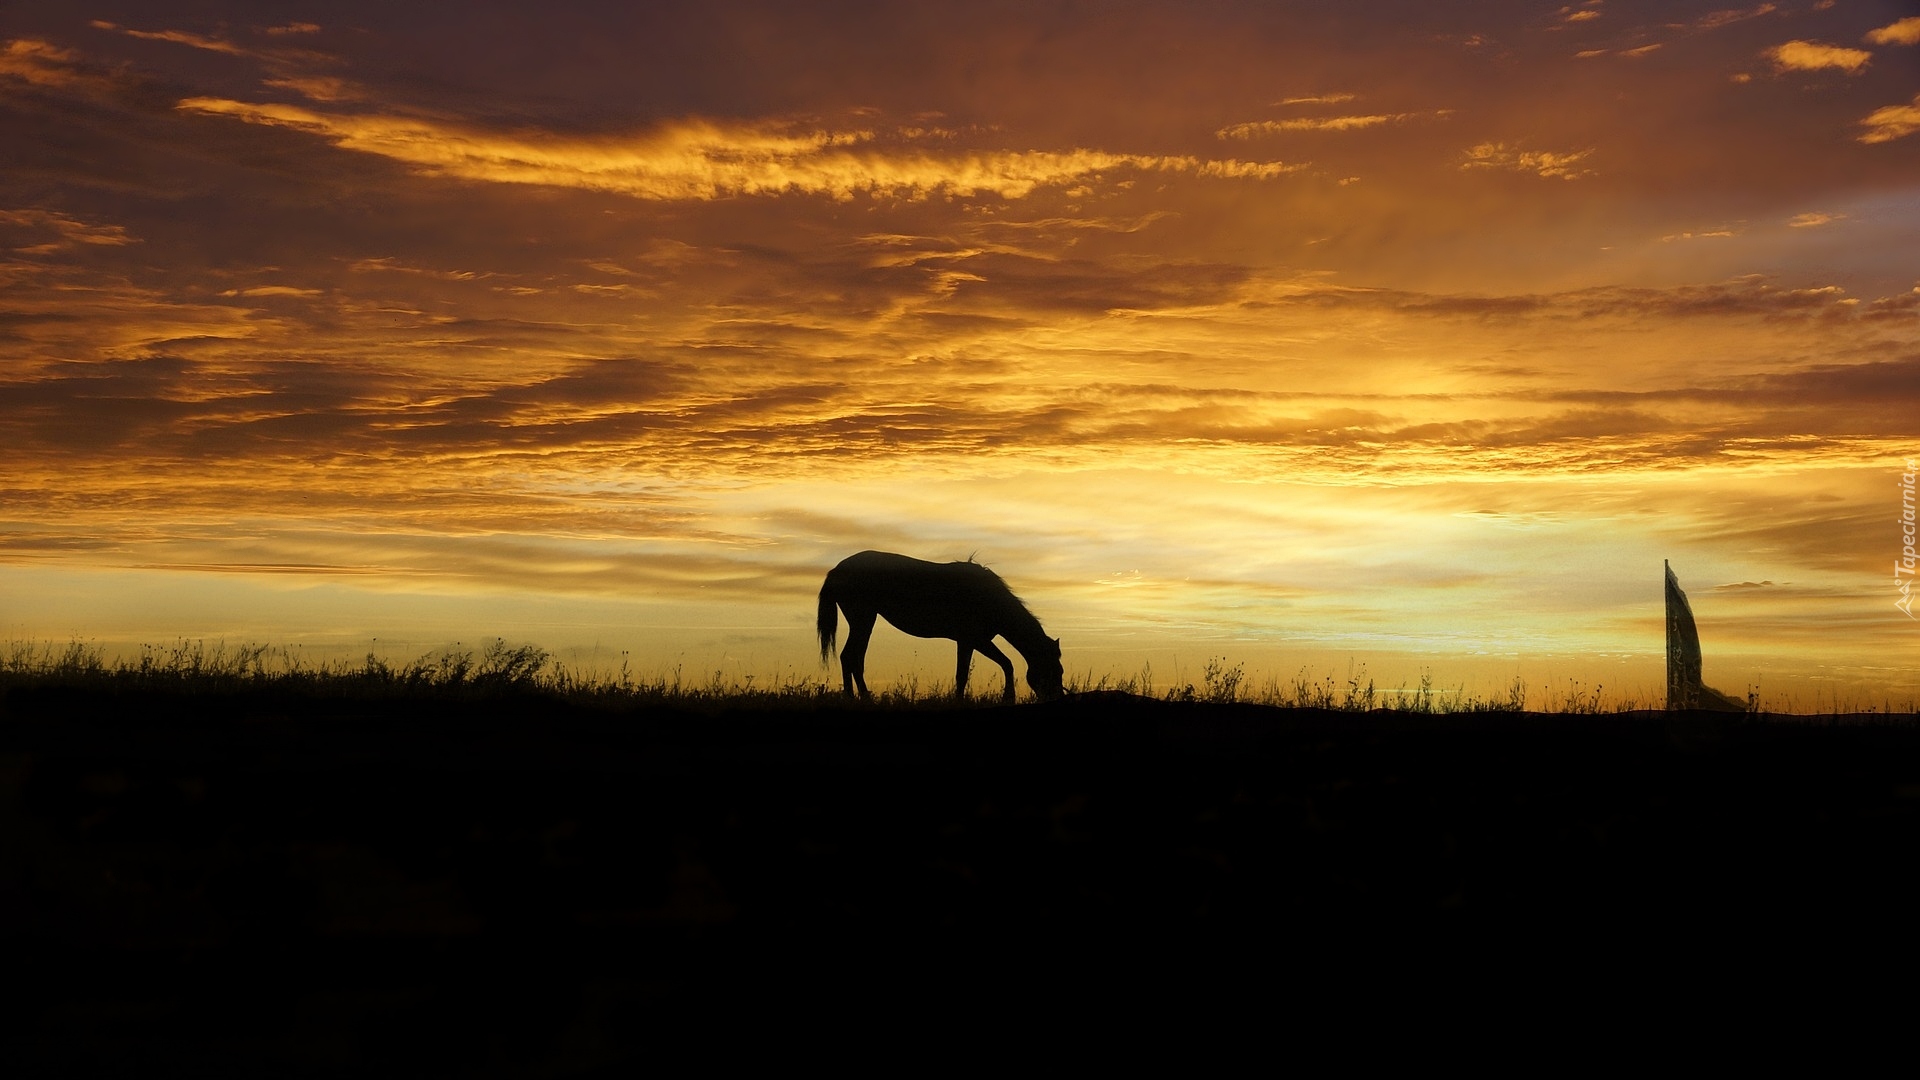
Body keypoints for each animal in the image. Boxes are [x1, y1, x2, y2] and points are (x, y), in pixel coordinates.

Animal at [817, 545, 1067, 699]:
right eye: (1054, 670)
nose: (1057, 698)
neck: (988, 598)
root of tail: (837, 569)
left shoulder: (968, 642)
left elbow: (964, 674)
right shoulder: (974, 640)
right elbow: (1003, 665)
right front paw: (1008, 698)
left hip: (863, 621)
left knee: (853, 658)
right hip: (863, 620)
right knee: (850, 657)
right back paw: (858, 698)